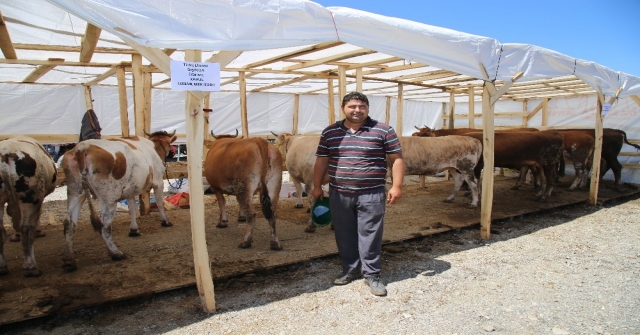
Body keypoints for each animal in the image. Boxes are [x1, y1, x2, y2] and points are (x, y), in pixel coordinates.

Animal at [0, 135, 57, 276]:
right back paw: (31, 267)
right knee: (26, 228)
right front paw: (38, 231)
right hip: (31, 197)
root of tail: (5, 154)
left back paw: (2, 266)